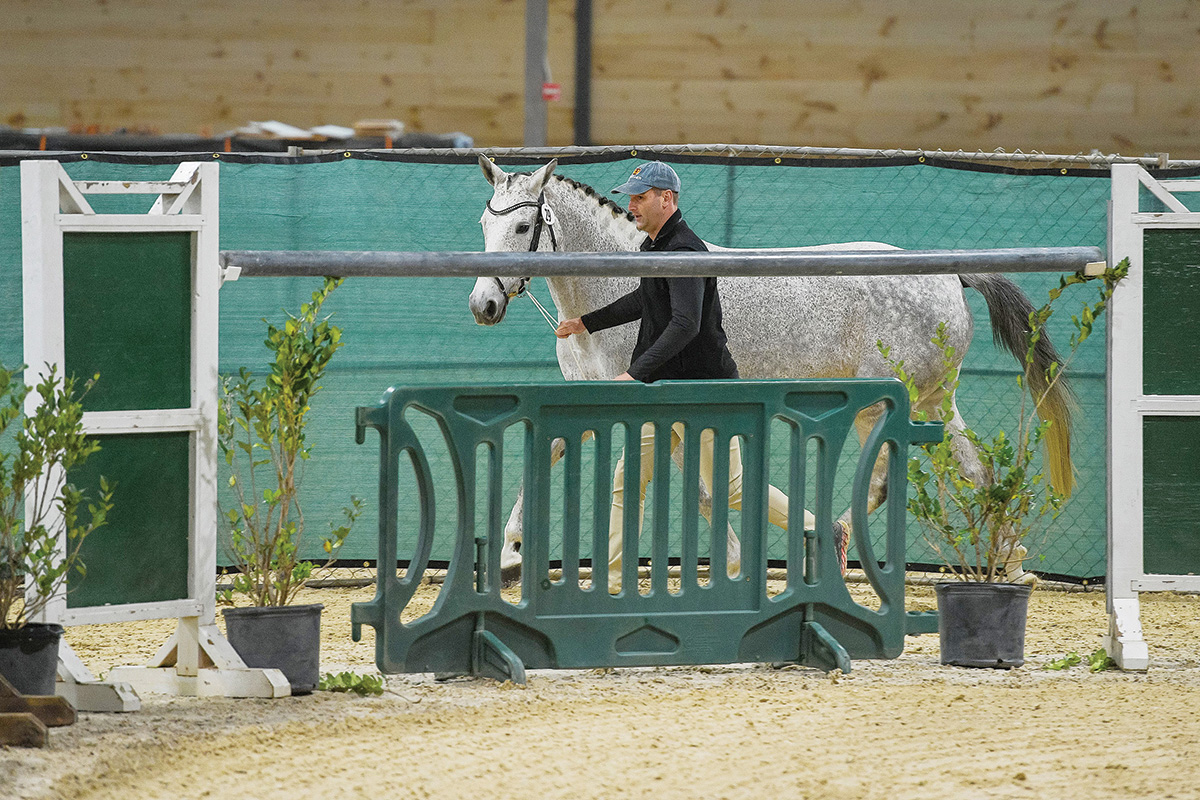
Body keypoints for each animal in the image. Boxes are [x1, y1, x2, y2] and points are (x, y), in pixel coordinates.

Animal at [468, 158, 1070, 582]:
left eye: (522, 227)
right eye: (483, 224)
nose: (483, 306)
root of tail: (950, 275)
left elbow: (696, 491)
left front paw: (732, 563)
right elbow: (550, 452)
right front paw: (511, 554)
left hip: (886, 401)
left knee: (886, 480)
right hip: (933, 400)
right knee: (976, 472)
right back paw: (1007, 562)